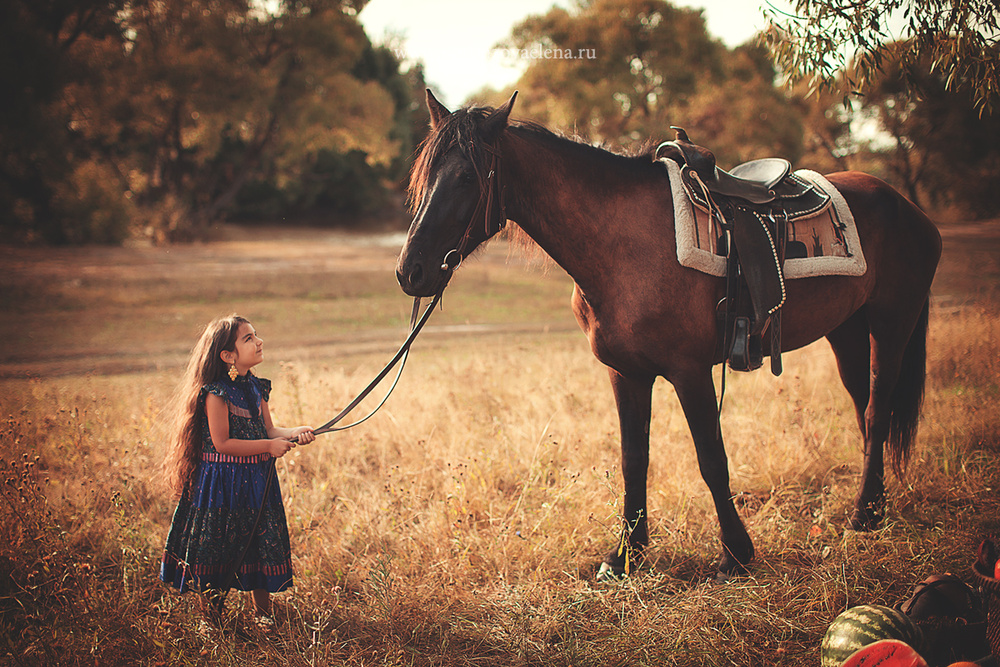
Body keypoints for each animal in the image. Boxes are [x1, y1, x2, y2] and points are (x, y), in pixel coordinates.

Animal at [394, 88, 940, 580]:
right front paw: (626, 556)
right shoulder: (626, 374)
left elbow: (711, 459)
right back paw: (873, 508)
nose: (410, 271)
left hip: (891, 325)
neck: (620, 246)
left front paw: (736, 554)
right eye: (425, 176)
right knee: (866, 409)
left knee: (877, 408)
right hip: (846, 331)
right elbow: (634, 460)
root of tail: (907, 206)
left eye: (467, 176)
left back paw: (864, 515)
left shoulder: (689, 371)